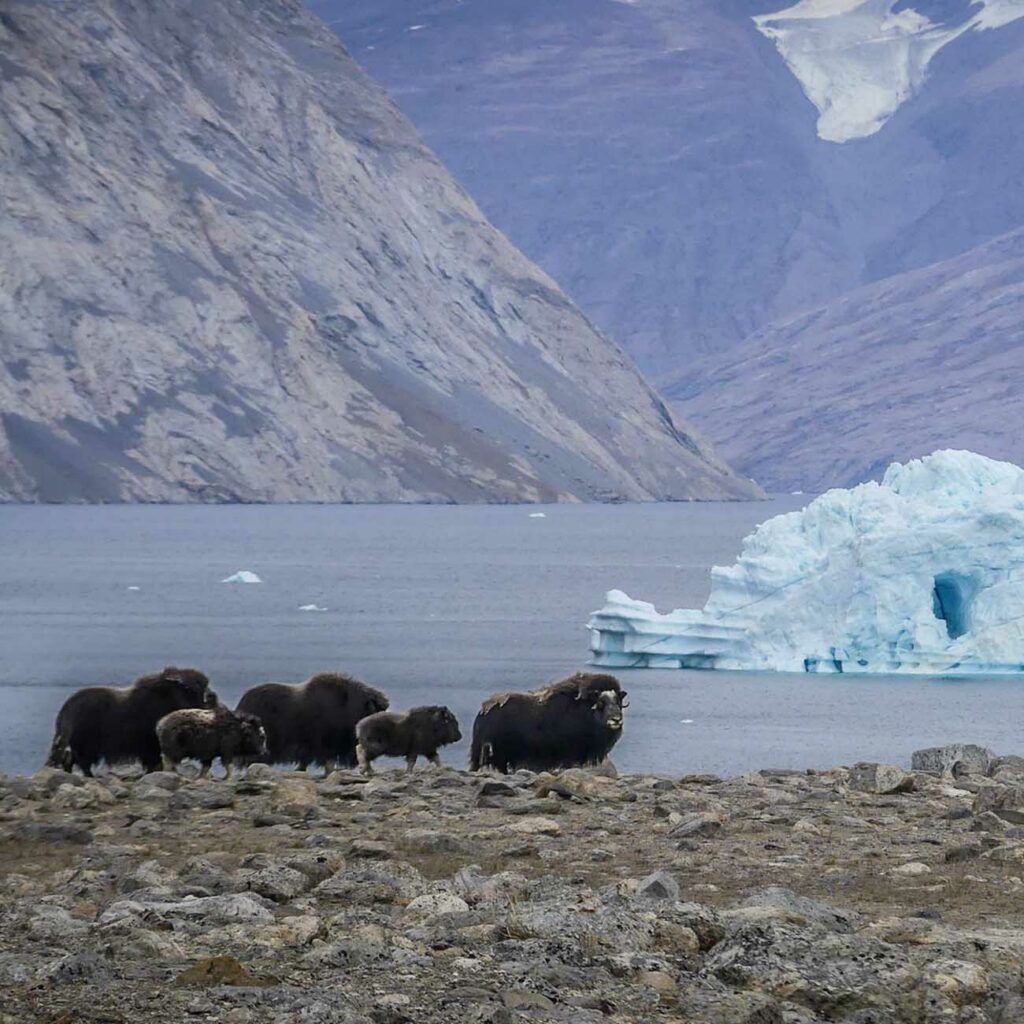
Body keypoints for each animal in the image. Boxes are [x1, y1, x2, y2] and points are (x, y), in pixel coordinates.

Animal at [48, 663, 217, 774]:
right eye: (189, 688)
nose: (211, 698)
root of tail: (66, 710)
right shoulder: (151, 746)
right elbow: (154, 763)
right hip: (86, 746)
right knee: (80, 762)